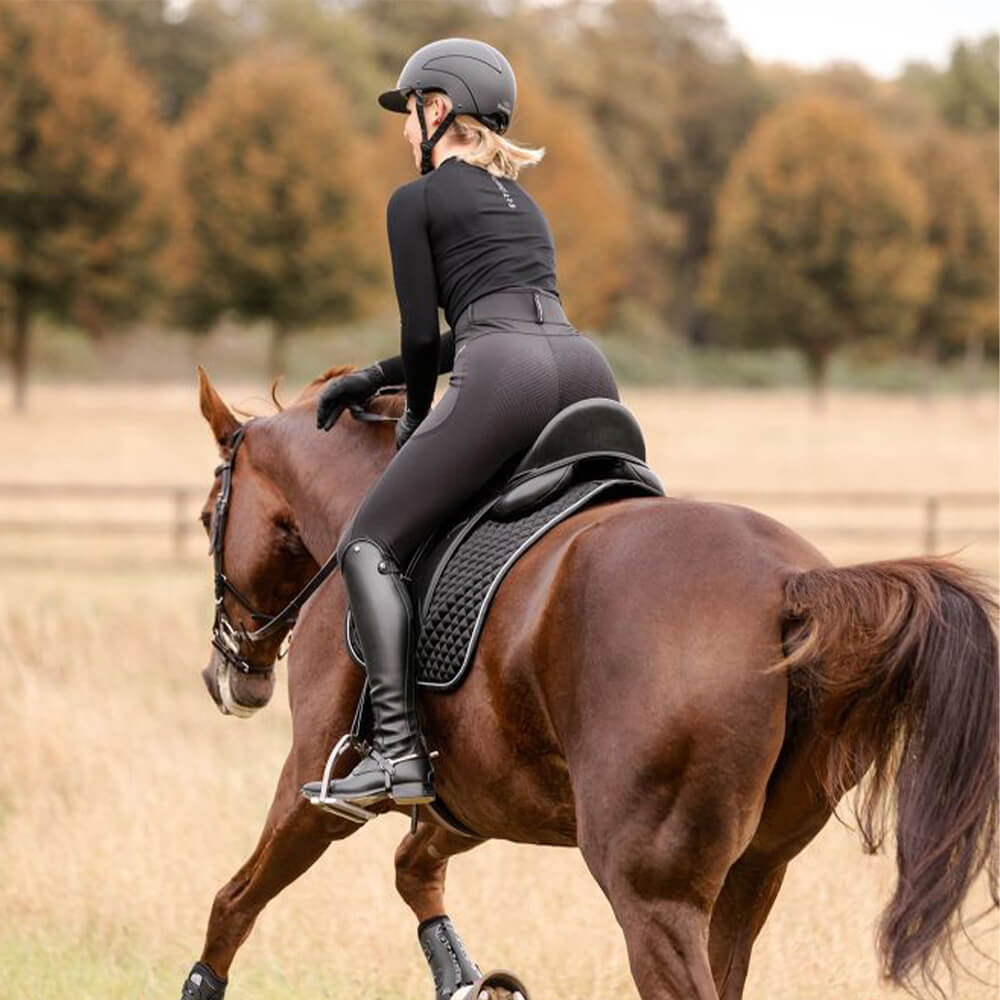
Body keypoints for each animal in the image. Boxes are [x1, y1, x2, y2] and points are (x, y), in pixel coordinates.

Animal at [182, 364, 998, 1000]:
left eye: (205, 517)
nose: (230, 680)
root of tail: (789, 585)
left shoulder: (315, 794)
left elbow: (232, 904)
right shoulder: (480, 799)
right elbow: (413, 870)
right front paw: (471, 982)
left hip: (651, 894)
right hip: (751, 877)